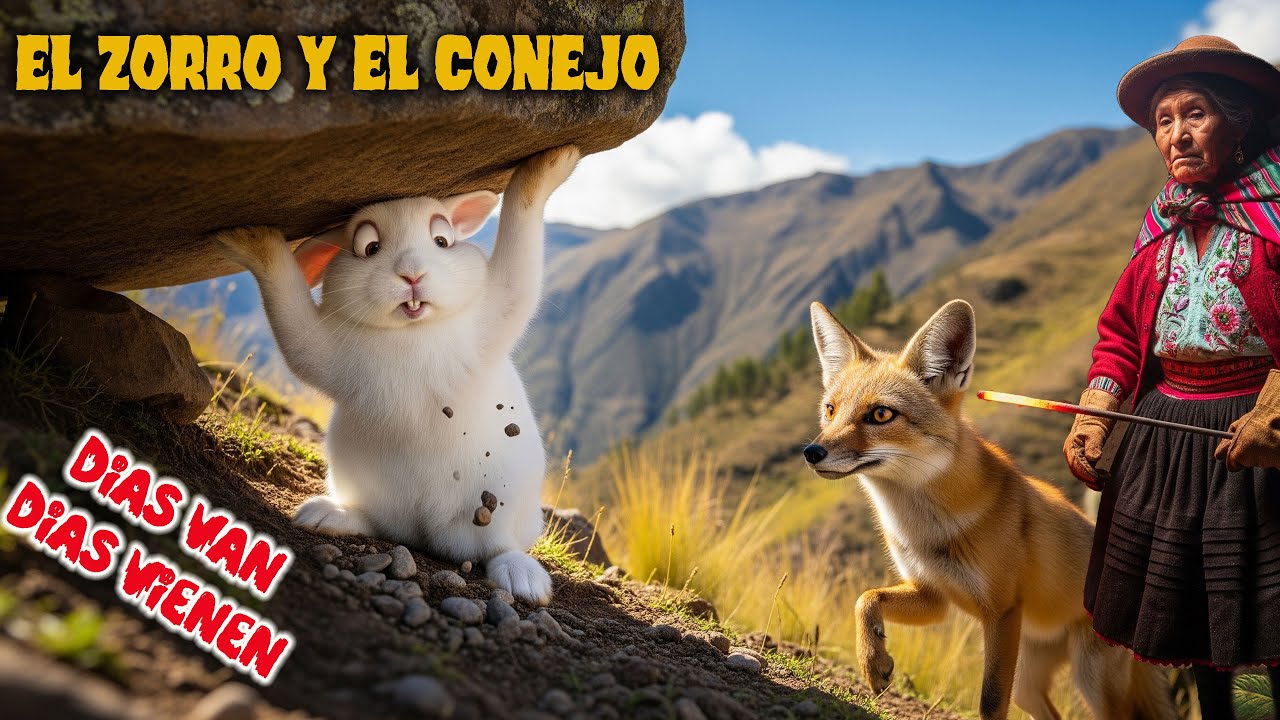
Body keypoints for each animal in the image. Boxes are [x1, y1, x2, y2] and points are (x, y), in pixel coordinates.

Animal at [214, 144, 582, 605]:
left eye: (442, 240)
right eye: (369, 247)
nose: (411, 274)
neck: (412, 331)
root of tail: (424, 533)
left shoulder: (498, 309)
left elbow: (521, 246)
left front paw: (551, 164)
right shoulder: (319, 346)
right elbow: (287, 304)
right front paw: (251, 241)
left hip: (499, 510)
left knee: (497, 548)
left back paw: (523, 580)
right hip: (365, 488)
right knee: (377, 523)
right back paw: (326, 515)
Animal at [801, 299, 1174, 720]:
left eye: (881, 415)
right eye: (831, 410)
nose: (812, 452)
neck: (927, 530)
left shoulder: (1001, 611)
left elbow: (990, 701)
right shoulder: (933, 595)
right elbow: (866, 598)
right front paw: (873, 661)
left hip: (1090, 679)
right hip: (1028, 682)